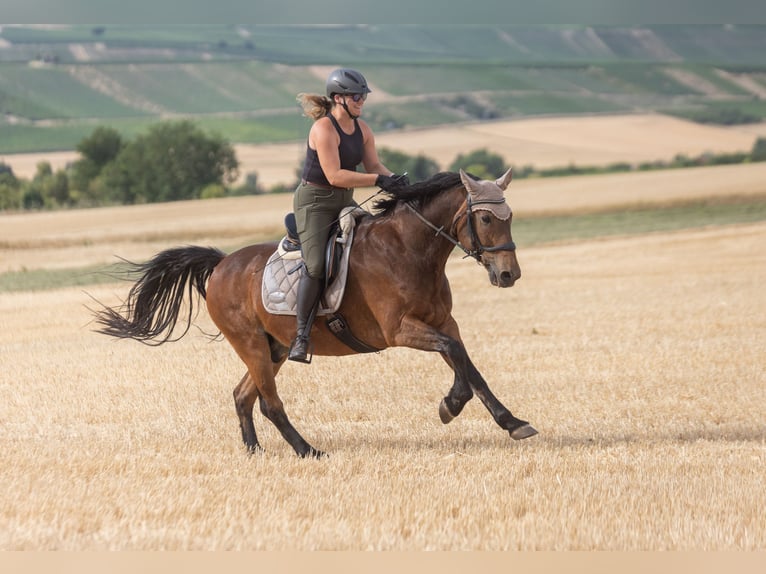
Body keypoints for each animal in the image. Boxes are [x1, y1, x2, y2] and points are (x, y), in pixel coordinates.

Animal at [94, 168, 537, 458]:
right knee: (269, 403)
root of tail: (221, 264)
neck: (410, 249)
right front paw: (454, 405)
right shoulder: (400, 330)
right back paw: (307, 450)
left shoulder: (443, 322)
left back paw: (254, 451)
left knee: (243, 395)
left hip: (273, 348)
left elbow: (466, 363)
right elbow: (455, 356)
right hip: (251, 344)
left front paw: (507, 420)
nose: (509, 274)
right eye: (485, 217)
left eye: (511, 216)